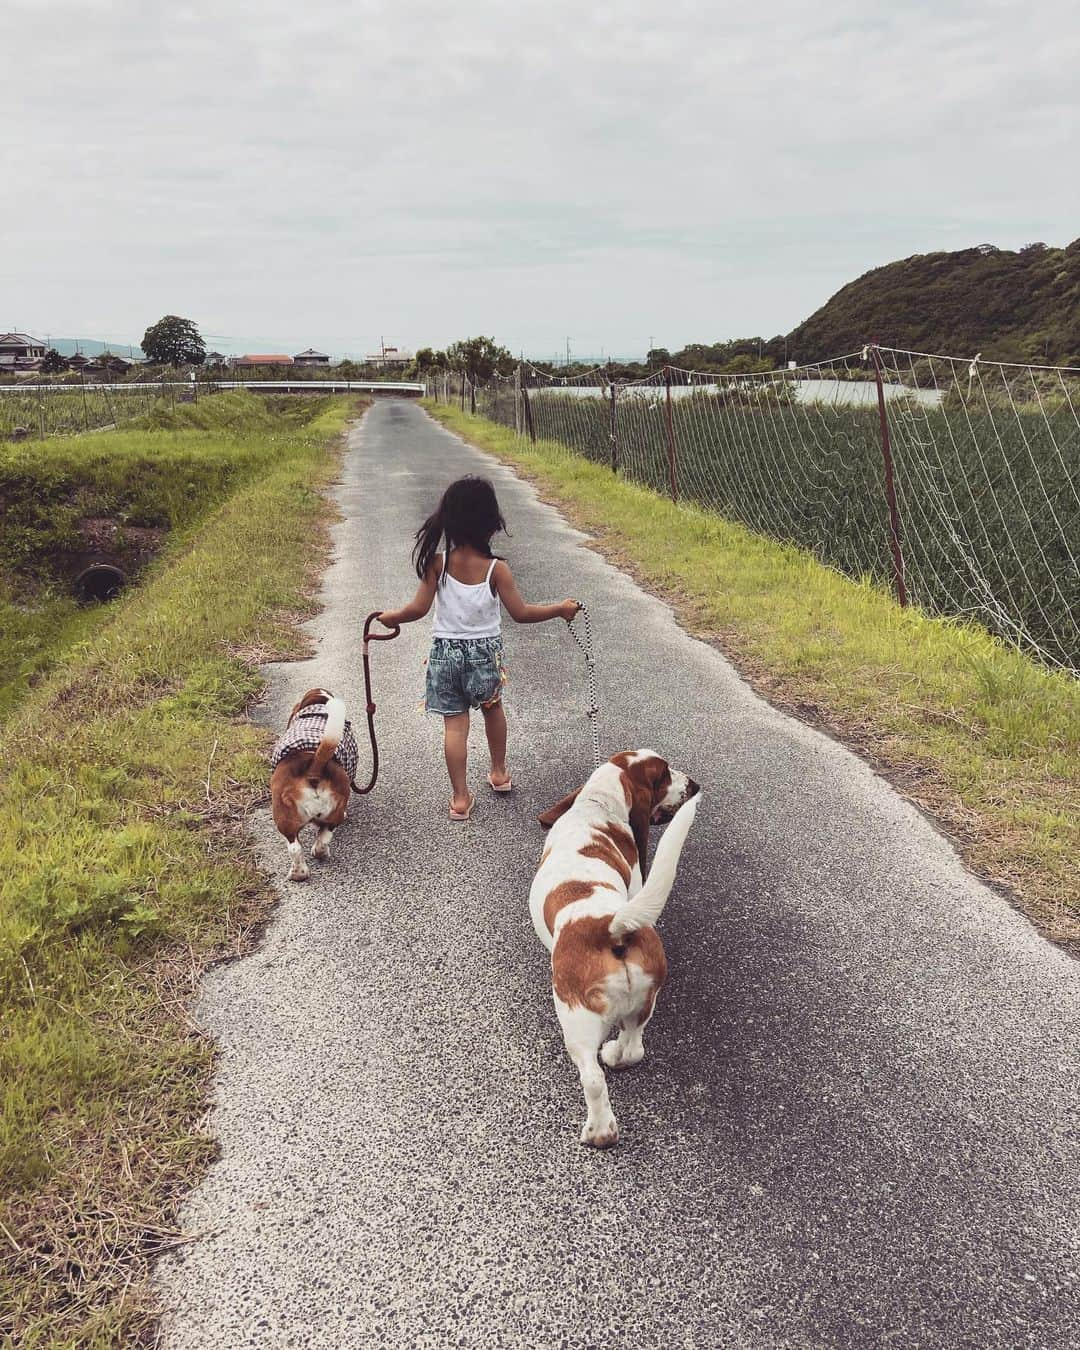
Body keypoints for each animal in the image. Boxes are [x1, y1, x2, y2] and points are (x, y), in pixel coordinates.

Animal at [270, 685, 353, 885]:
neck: (319, 702)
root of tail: (314, 765)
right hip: (330, 813)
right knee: (320, 838)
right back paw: (314, 859)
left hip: (285, 818)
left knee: (297, 846)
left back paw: (300, 872)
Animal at [529, 750, 702, 1150]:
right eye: (664, 774)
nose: (695, 784)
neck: (597, 805)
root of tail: (610, 925)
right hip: (644, 1001)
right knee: (633, 1047)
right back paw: (615, 1055)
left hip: (574, 1021)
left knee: (592, 1078)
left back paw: (600, 1132)